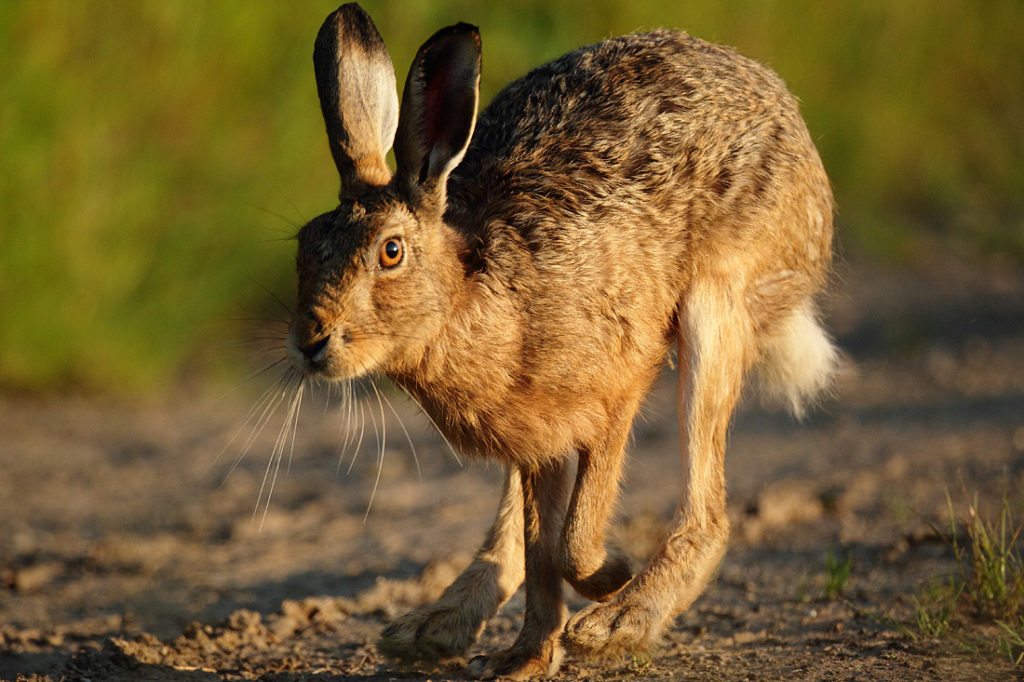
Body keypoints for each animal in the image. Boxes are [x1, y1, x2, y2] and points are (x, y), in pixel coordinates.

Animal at [287, 3, 838, 679]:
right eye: (305, 245)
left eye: (390, 252)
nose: (310, 341)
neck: (470, 296)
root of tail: (777, 99)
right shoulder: (533, 441)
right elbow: (539, 547)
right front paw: (526, 658)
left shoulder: (620, 387)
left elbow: (572, 540)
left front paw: (610, 578)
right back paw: (433, 627)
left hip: (719, 306)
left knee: (708, 507)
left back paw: (619, 623)